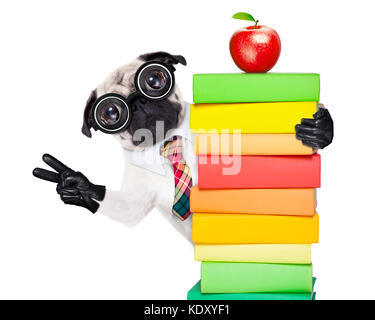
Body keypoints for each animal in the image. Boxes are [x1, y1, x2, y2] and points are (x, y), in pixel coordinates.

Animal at [32, 51, 334, 242]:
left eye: (154, 80)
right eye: (110, 113)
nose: (138, 102)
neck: (167, 140)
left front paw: (319, 130)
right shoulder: (135, 199)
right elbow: (125, 208)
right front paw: (77, 185)